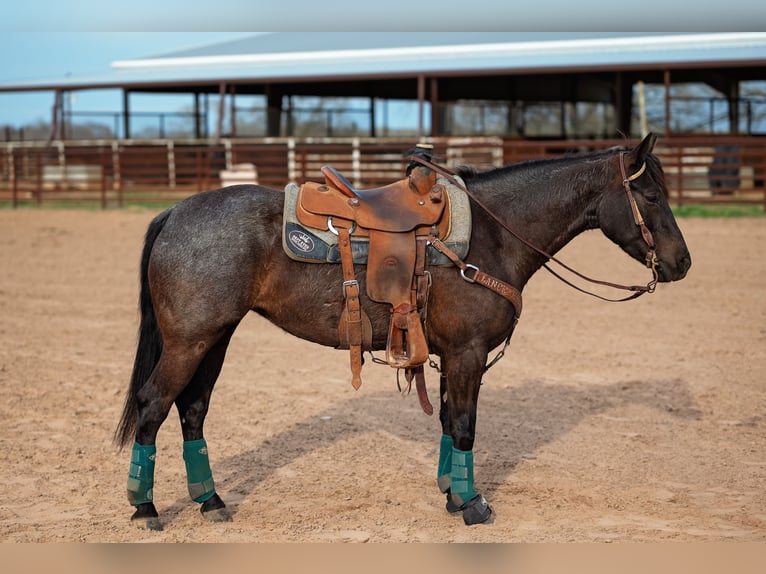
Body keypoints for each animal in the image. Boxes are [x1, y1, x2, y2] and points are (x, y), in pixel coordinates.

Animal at [114, 132, 691, 530]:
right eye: (652, 197)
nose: (683, 262)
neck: (492, 236)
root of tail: (175, 212)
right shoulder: (467, 353)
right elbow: (465, 427)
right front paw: (474, 505)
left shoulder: (452, 356)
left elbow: (450, 424)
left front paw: (453, 494)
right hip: (189, 341)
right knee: (153, 405)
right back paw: (146, 508)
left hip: (216, 337)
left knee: (192, 409)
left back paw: (210, 500)